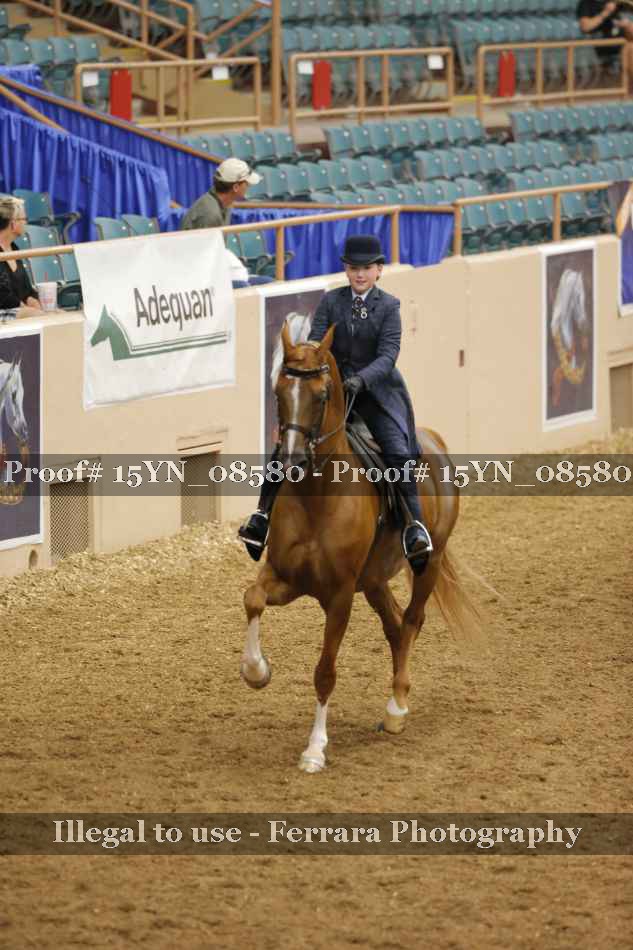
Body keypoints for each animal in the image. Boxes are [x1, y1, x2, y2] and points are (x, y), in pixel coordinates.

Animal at [241, 318, 480, 773]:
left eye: (320, 396)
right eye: (279, 391)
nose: (293, 461)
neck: (319, 495)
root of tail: (434, 440)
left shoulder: (337, 596)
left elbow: (325, 671)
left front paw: (315, 749)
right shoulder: (286, 576)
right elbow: (253, 599)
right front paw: (256, 671)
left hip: (429, 562)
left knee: (412, 621)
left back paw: (397, 708)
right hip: (373, 580)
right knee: (394, 627)